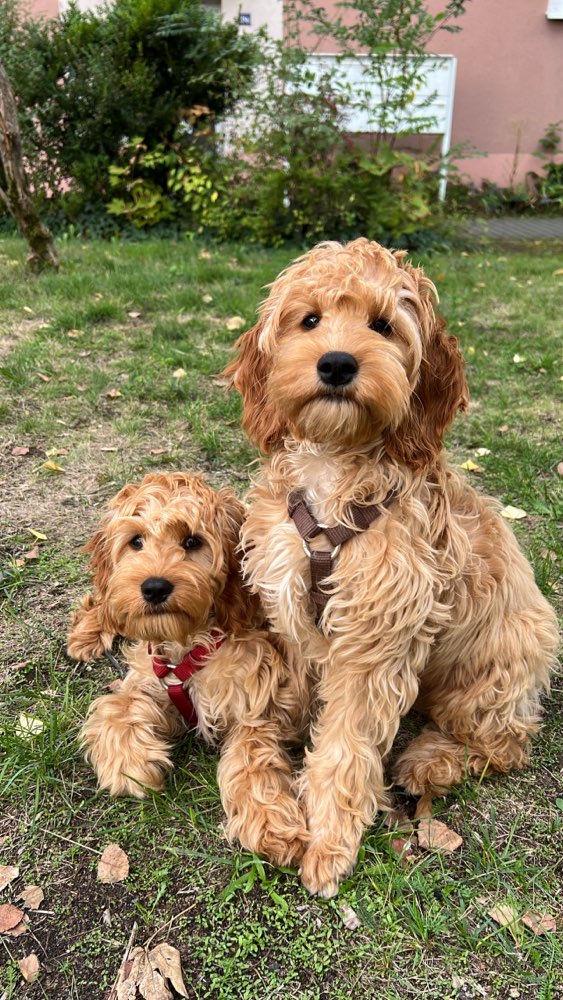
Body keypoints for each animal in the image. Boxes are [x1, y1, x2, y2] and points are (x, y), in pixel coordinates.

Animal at [69, 472, 312, 864]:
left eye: (192, 541)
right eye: (136, 541)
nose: (154, 587)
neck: (188, 643)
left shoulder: (256, 699)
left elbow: (251, 758)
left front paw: (271, 822)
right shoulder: (150, 672)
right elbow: (115, 709)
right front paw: (130, 764)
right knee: (103, 599)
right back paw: (85, 634)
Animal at [227, 236, 560, 900]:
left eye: (382, 325)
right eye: (310, 320)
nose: (336, 365)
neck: (333, 476)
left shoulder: (377, 636)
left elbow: (346, 744)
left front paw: (329, 844)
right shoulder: (293, 612)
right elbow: (276, 708)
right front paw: (266, 789)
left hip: (492, 673)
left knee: (505, 744)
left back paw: (430, 761)